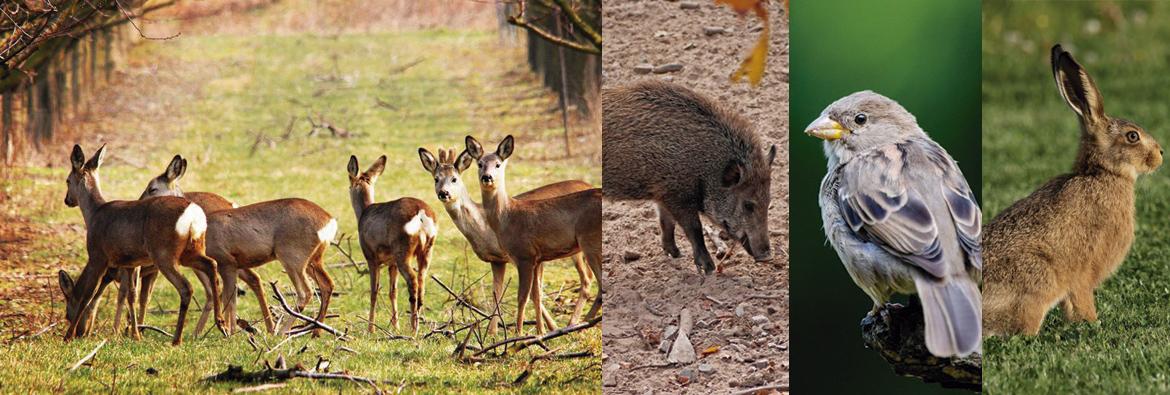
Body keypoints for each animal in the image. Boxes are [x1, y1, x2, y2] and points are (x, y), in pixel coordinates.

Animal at [58, 144, 224, 345]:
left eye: (67, 180)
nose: (67, 200)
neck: (94, 214)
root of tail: (193, 215)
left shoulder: (98, 256)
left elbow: (87, 295)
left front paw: (68, 336)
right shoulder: (130, 263)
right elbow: (131, 295)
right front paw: (135, 334)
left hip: (164, 254)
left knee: (186, 287)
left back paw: (177, 339)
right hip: (192, 250)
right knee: (211, 264)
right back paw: (221, 323)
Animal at [138, 155, 339, 334]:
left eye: (152, 188)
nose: (139, 203)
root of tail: (329, 220)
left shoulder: (226, 261)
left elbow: (229, 297)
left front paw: (230, 332)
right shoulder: (231, 264)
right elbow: (230, 297)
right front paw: (231, 331)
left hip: (292, 257)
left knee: (305, 292)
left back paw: (281, 332)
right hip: (314, 259)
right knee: (327, 285)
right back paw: (314, 331)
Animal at [348, 155, 439, 334]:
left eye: (349, 181)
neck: (363, 213)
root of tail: (421, 214)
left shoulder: (371, 256)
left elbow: (374, 291)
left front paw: (371, 328)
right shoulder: (392, 263)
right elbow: (393, 291)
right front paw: (396, 326)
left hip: (403, 250)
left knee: (413, 280)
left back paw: (413, 328)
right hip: (426, 250)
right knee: (421, 281)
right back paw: (417, 324)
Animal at [418, 146, 594, 334]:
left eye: (454, 179)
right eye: (436, 179)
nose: (444, 193)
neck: (484, 228)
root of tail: (590, 184)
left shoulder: (526, 256)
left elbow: (534, 293)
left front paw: (549, 327)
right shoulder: (497, 260)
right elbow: (498, 293)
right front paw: (492, 332)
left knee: (586, 278)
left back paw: (574, 323)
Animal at [463, 134, 603, 334]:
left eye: (498, 164)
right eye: (480, 163)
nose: (487, 177)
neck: (507, 216)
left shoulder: (525, 255)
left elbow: (522, 296)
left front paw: (519, 333)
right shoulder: (537, 258)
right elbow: (536, 294)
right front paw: (540, 332)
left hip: (590, 242)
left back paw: (579, 324)